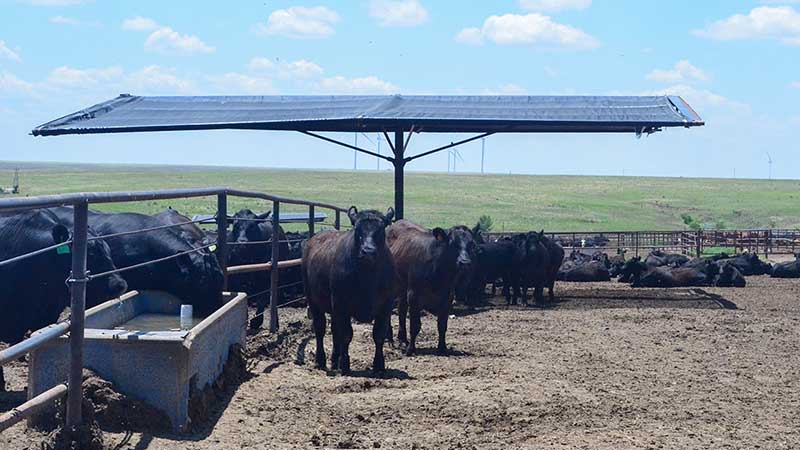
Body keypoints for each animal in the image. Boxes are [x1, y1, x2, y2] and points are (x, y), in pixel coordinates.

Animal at [302, 207, 396, 376]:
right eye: (357, 229)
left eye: (380, 230)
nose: (368, 251)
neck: (368, 277)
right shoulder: (342, 304)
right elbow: (346, 335)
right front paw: (344, 364)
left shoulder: (386, 306)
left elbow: (379, 335)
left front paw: (379, 365)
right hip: (313, 301)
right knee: (320, 329)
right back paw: (321, 360)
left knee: (334, 331)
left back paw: (334, 359)